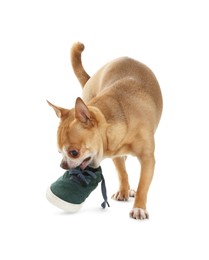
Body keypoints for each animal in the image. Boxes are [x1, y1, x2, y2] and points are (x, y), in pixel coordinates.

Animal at [47, 42, 163, 219]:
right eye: (59, 152)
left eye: (74, 152)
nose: (63, 165)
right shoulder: (115, 152)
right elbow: (122, 172)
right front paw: (123, 191)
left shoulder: (148, 158)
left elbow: (143, 184)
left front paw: (139, 207)